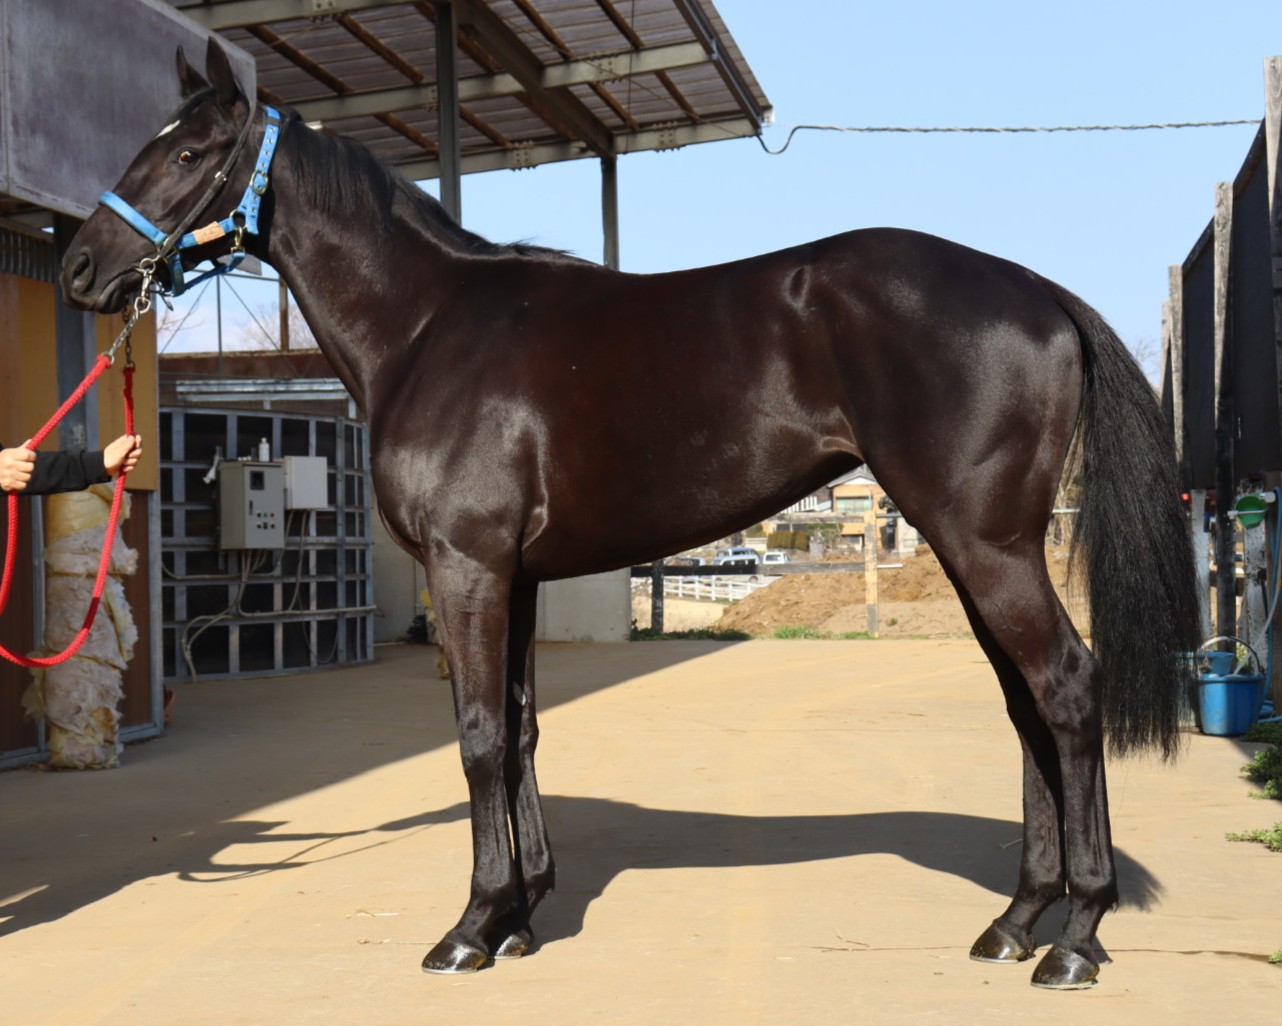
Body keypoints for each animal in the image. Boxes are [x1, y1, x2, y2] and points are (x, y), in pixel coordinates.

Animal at [60, 38, 1201, 989]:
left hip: (986, 544)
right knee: (1026, 707)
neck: (429, 328)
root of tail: (1037, 292)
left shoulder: (468, 565)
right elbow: (520, 731)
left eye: (193, 149)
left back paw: (1076, 938)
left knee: (1065, 689)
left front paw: (470, 928)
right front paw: (521, 919)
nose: (81, 267)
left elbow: (478, 735)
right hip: (975, 549)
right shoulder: (511, 575)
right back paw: (1015, 921)